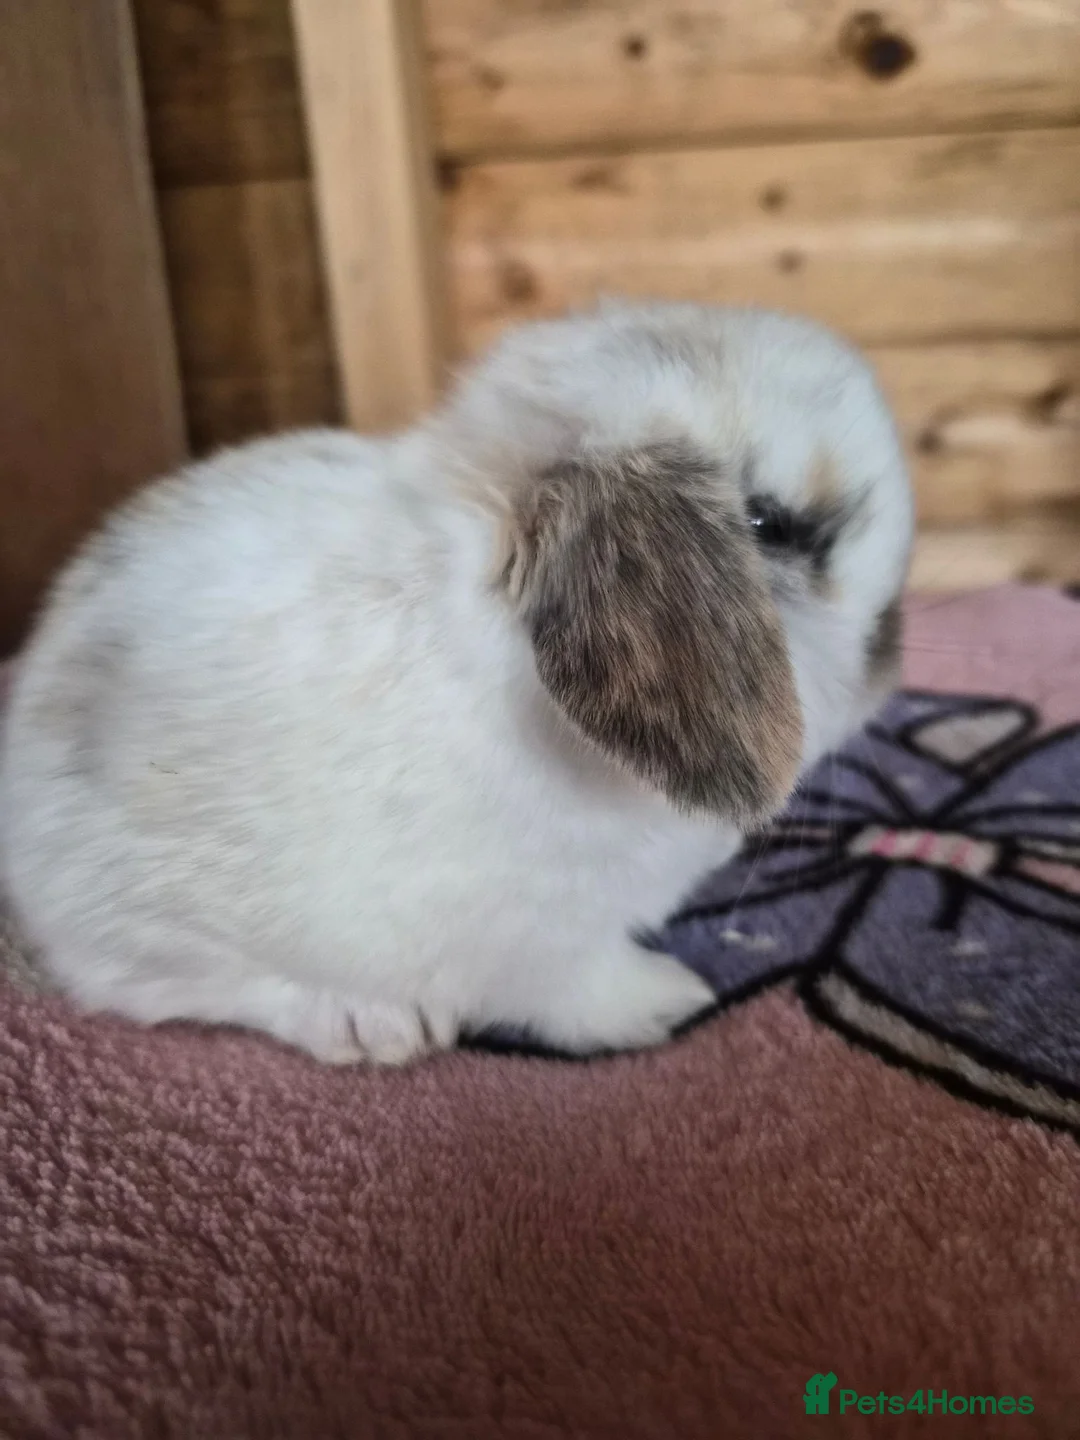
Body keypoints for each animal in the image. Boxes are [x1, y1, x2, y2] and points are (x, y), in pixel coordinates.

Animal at [0, 301, 913, 1065]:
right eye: (766, 524)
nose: (892, 655)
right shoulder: (548, 947)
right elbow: (583, 992)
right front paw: (671, 1003)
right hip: (152, 923)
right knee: (169, 986)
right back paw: (375, 1025)